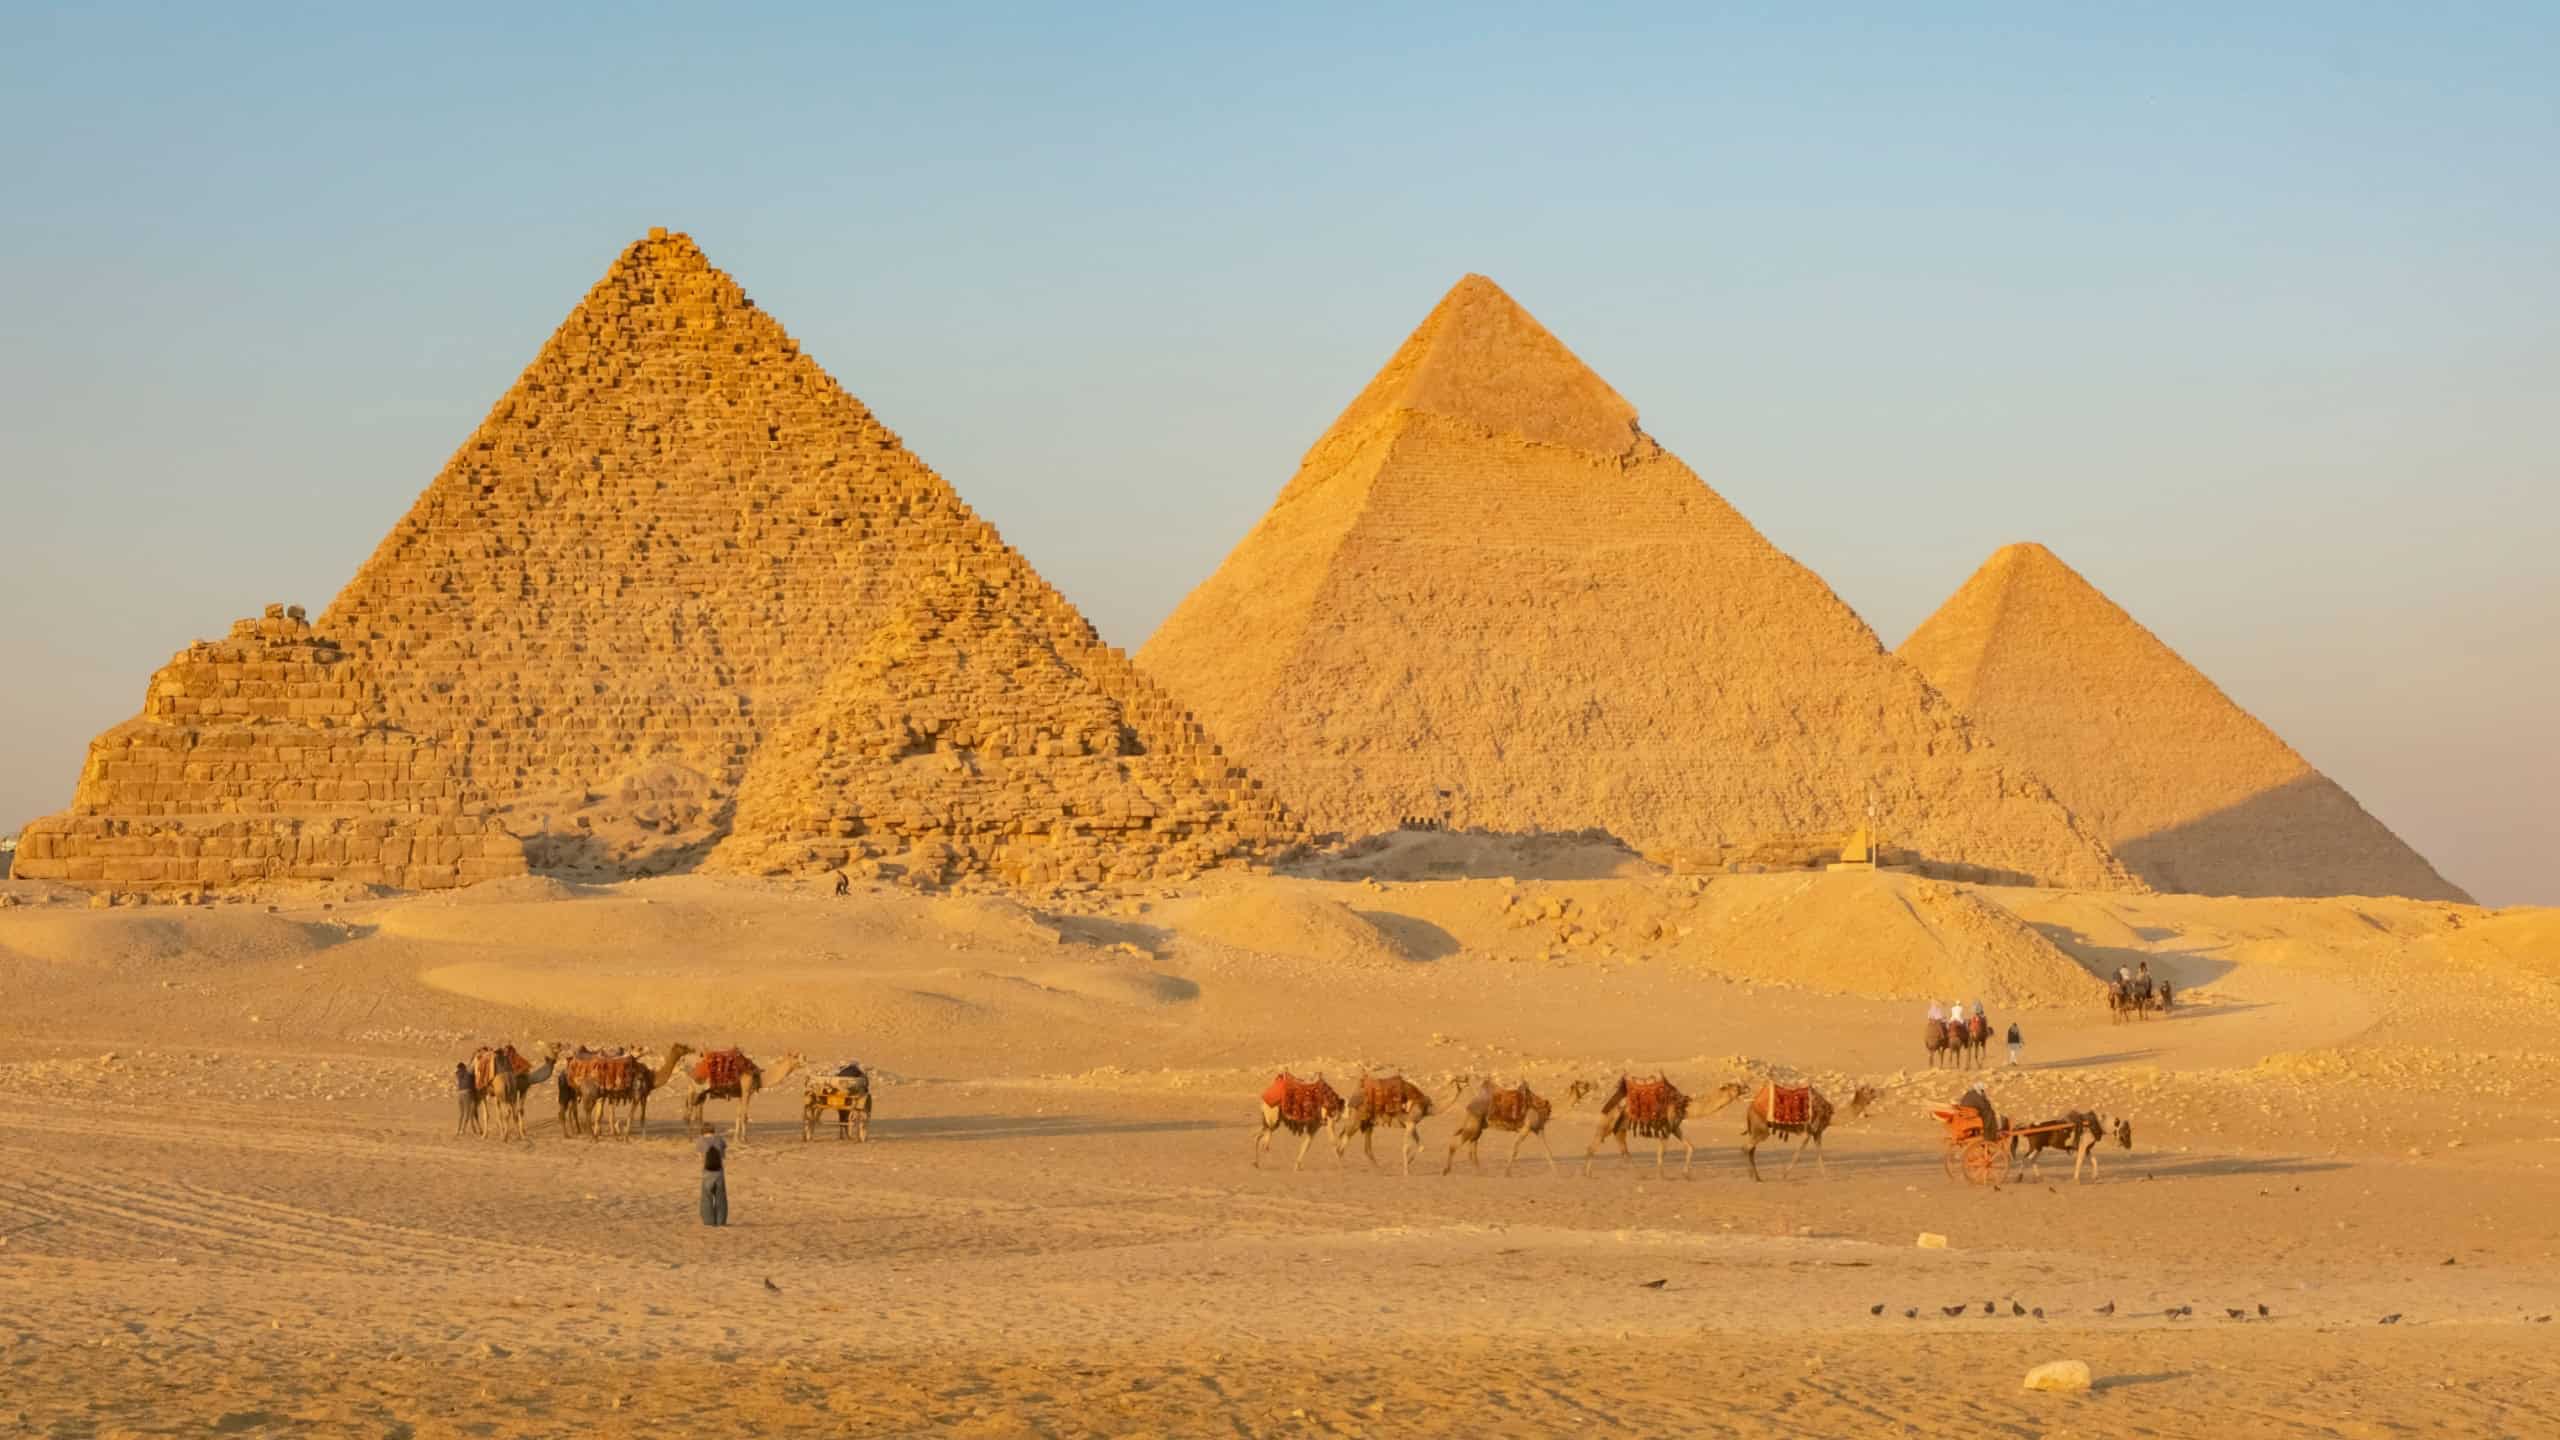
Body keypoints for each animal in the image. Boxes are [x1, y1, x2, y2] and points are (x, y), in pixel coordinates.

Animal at [1710, 1080, 1879, 1180]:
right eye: (1870, 1090)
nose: (1878, 1092)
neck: (1830, 1114)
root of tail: (1750, 1107)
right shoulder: (1810, 1130)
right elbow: (1799, 1152)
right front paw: (1785, 1174)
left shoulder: (1817, 1132)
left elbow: (1819, 1152)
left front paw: (1825, 1174)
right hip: (1761, 1127)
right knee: (1746, 1148)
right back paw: (1754, 1177)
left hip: (1756, 1128)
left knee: (1750, 1150)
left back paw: (1757, 1177)